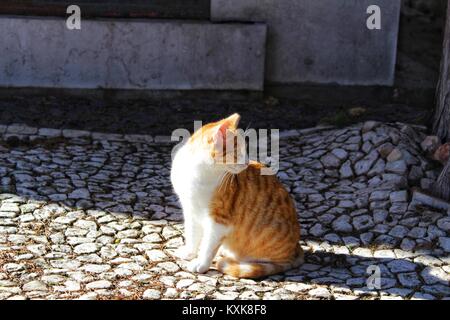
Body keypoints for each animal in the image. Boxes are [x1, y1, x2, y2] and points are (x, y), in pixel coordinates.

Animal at [171, 114, 304, 278]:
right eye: (237, 153)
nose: (246, 163)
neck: (197, 173)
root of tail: (296, 248)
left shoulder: (219, 221)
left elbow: (208, 245)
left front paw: (201, 264)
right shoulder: (190, 210)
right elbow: (192, 235)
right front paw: (189, 253)